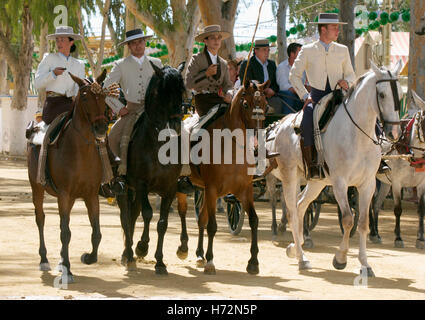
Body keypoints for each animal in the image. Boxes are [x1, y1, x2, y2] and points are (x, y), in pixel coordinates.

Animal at [26, 70, 109, 284]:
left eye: (104, 96)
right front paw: (67, 270)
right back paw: (44, 260)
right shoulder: (64, 195)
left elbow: (96, 232)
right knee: (41, 219)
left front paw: (88, 257)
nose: (101, 128)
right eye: (86, 97)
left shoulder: (91, 195)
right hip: (37, 188)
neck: (80, 150)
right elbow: (65, 233)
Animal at [118, 63, 186, 276]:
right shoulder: (142, 184)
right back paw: (128, 254)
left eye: (181, 90)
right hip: (124, 188)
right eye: (161, 92)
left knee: (133, 214)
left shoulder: (170, 188)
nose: (175, 124)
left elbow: (162, 223)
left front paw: (160, 262)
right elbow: (148, 214)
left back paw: (128, 252)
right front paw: (142, 246)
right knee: (126, 216)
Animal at [176, 79, 268, 276]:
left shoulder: (244, 191)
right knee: (183, 212)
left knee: (201, 218)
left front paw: (253, 262)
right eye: (246, 104)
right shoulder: (212, 189)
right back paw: (184, 247)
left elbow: (254, 220)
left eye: (266, 104)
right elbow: (212, 226)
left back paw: (199, 254)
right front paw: (211, 262)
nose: (257, 143)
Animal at [266, 61, 402, 276]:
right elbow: (347, 220)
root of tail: (280, 125)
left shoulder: (367, 185)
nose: (394, 132)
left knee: (300, 205)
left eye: (400, 94)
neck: (357, 136)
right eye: (381, 94)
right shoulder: (340, 183)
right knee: (292, 212)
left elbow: (362, 222)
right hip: (290, 177)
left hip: (317, 183)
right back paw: (302, 258)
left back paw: (296, 248)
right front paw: (340, 258)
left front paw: (365, 265)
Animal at [368, 90, 424, 250]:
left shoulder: (421, 184)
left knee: (376, 204)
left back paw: (376, 233)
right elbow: (398, 210)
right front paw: (398, 238)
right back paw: (372, 232)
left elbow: (421, 210)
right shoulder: (398, 184)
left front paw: (420, 239)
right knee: (369, 204)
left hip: (385, 184)